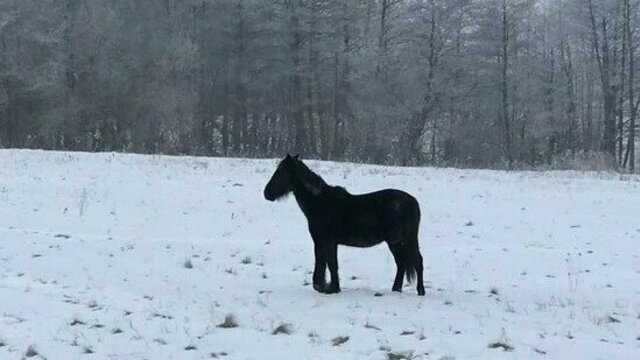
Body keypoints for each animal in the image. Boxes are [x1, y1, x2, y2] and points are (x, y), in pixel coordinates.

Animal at [264, 155, 424, 296]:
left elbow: (331, 264)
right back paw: (396, 289)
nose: (267, 193)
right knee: (401, 263)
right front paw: (325, 287)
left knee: (417, 261)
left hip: (408, 239)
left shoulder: (328, 242)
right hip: (394, 241)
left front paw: (332, 288)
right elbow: (321, 267)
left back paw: (420, 291)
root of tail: (413, 201)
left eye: (280, 173)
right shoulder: (320, 242)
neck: (320, 202)